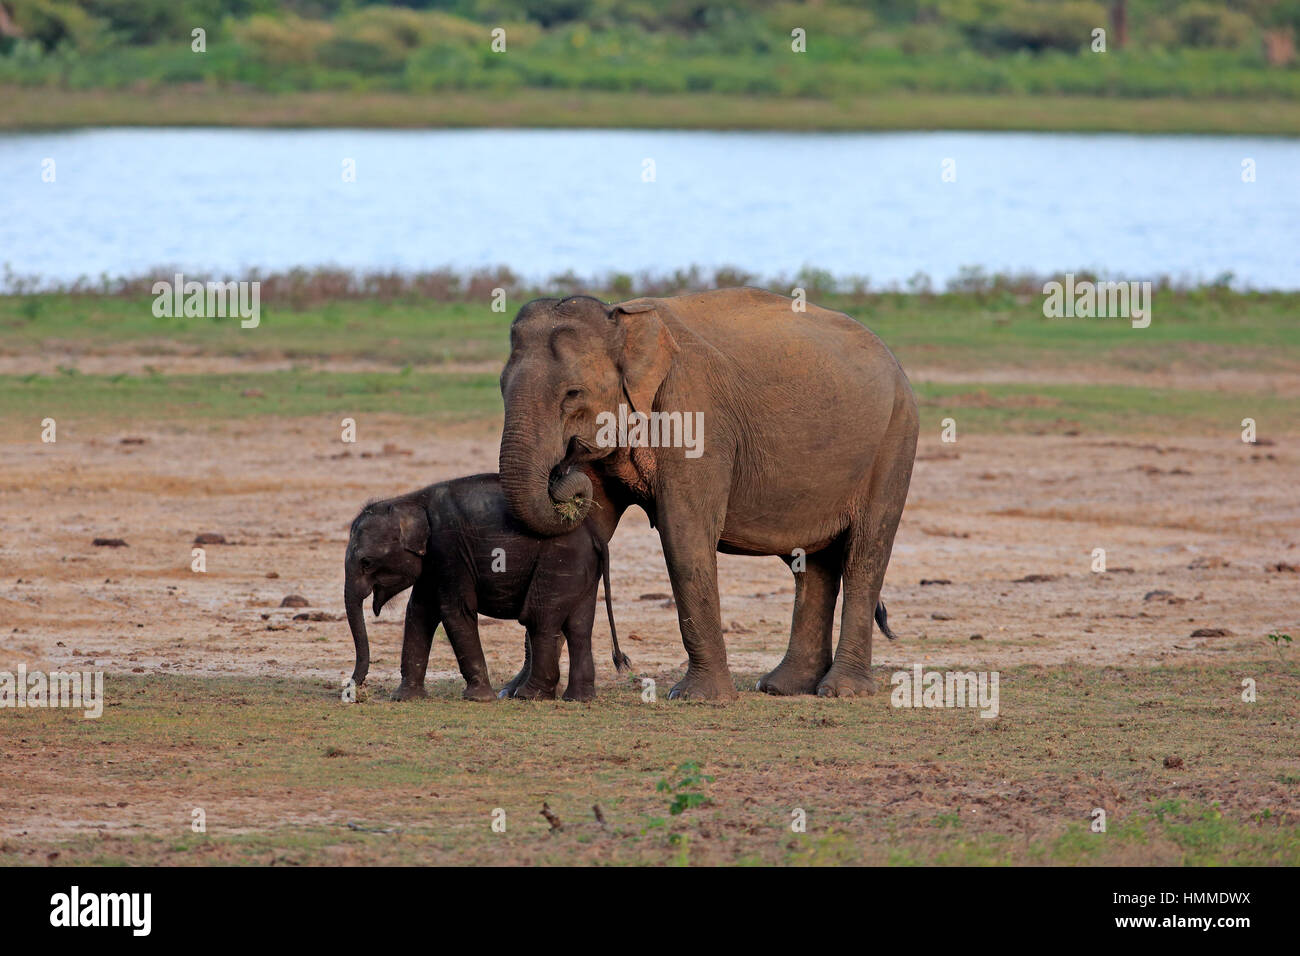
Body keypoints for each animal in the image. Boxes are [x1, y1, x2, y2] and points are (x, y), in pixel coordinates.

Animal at [343, 473, 626, 702]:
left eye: (366, 562)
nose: (352, 690)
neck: (411, 500)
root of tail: (595, 534)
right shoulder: (433, 563)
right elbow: (420, 612)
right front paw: (405, 698)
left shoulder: (449, 550)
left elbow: (454, 611)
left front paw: (478, 699)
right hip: (582, 570)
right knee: (579, 627)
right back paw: (578, 699)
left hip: (560, 560)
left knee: (540, 620)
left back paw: (529, 696)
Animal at [493, 287, 915, 697]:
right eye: (501, 387)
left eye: (573, 393)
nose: (562, 472)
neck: (622, 317)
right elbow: (579, 538)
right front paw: (517, 692)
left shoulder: (696, 419)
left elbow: (685, 535)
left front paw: (696, 696)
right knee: (813, 563)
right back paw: (784, 687)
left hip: (894, 442)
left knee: (865, 555)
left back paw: (841, 691)